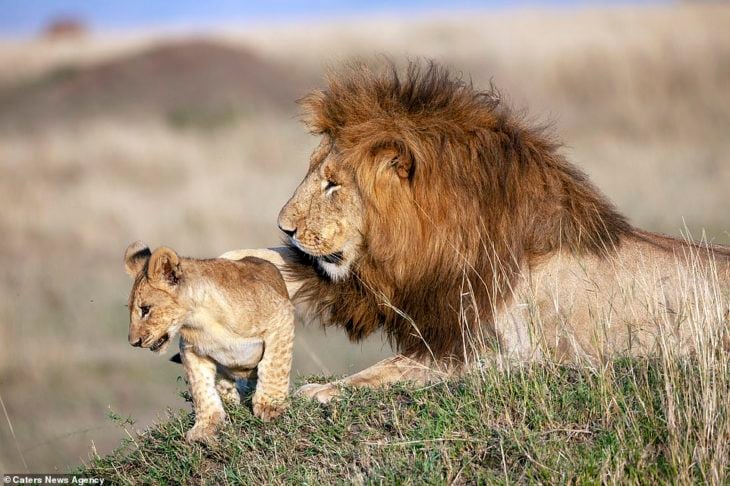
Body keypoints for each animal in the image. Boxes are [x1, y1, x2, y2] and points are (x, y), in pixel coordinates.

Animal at [223, 60, 728, 402]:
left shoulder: (501, 351)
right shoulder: (402, 294)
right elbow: (293, 269)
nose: (285, 225)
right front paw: (230, 269)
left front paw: (323, 392)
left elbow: (394, 368)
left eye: (332, 184)